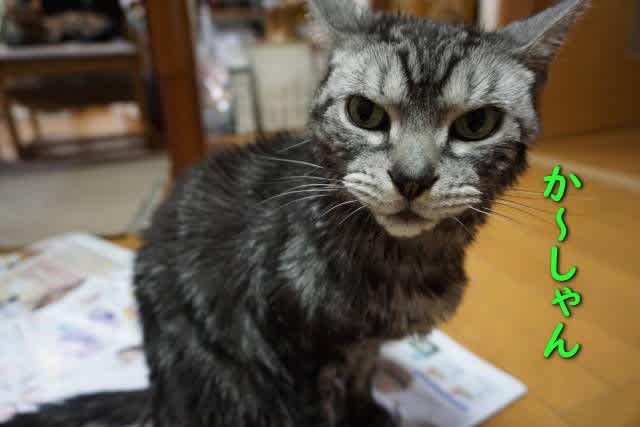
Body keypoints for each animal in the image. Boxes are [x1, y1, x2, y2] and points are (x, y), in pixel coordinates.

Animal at [2, 0, 586, 426]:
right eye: (364, 113)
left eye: (477, 124)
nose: (411, 178)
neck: (404, 262)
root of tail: (157, 397)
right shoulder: (291, 350)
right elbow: (315, 407)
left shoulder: (361, 346)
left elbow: (361, 378)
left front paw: (368, 415)